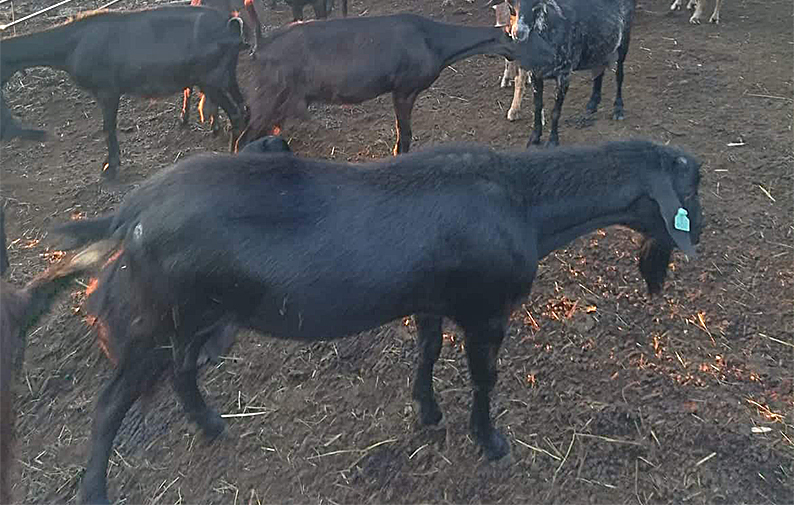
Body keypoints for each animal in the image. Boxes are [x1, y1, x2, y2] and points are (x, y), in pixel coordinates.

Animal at [0, 6, 247, 178]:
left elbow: (108, 127)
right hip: (227, 77)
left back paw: (233, 152)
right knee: (244, 108)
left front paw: (110, 167)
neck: (74, 44)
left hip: (211, 81)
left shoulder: (107, 91)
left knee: (236, 114)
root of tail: (231, 26)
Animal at [52, 139, 702, 504]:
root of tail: (132, 211)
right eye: (691, 185)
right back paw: (95, 491)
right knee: (109, 406)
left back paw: (212, 427)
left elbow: (427, 352)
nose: (699, 236)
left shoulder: (432, 300)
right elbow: (484, 379)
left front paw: (427, 412)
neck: (525, 202)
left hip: (196, 319)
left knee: (184, 371)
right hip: (157, 323)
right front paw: (490, 442)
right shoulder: (486, 312)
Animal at [239, 4, 550, 154]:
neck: (435, 42)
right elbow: (405, 139)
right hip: (269, 97)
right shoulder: (403, 89)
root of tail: (260, 45)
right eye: (523, 37)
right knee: (242, 140)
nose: (549, 58)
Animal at [511, 0, 635, 146]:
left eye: (535, 4)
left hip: (624, 39)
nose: (519, 32)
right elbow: (537, 107)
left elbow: (555, 111)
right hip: (600, 44)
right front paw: (534, 138)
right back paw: (593, 103)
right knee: (599, 70)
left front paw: (553, 140)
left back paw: (618, 109)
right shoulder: (535, 74)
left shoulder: (564, 74)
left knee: (619, 75)